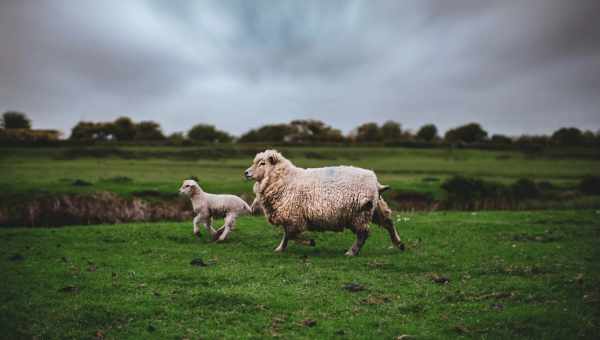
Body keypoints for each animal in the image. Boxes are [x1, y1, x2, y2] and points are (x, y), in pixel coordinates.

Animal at [243, 149, 404, 255]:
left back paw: (352, 252)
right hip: (375, 209)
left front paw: (309, 242)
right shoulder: (290, 217)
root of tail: (375, 182)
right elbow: (287, 235)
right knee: (389, 222)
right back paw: (399, 244)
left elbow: (291, 235)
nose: (246, 173)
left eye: (262, 163)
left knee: (363, 234)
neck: (283, 179)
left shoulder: (294, 217)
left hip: (359, 214)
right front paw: (280, 248)